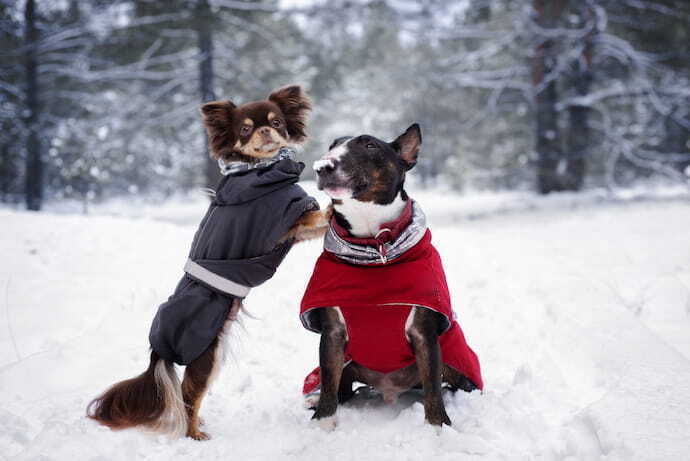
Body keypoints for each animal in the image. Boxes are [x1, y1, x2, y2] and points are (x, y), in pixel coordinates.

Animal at [86, 84, 328, 440]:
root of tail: (157, 351)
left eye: (277, 123)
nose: (265, 130)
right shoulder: (290, 220)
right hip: (207, 356)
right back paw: (194, 434)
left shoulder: (295, 231)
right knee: (189, 398)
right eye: (245, 129)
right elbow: (323, 213)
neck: (257, 171)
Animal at [300, 124, 484, 430]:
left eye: (370, 145)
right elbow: (328, 382)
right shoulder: (332, 332)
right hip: (349, 362)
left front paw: (438, 428)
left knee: (451, 386)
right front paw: (322, 424)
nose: (323, 166)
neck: (375, 248)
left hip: (456, 361)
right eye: (332, 145)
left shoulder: (424, 333)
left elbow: (433, 387)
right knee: (342, 389)